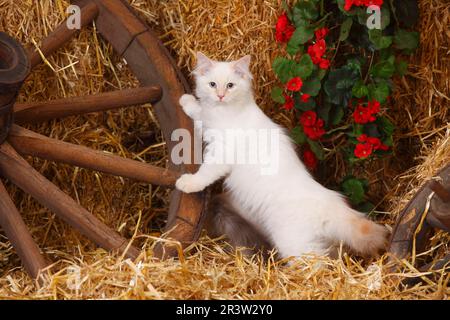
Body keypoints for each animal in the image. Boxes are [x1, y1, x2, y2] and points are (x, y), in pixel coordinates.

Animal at [176, 52, 386, 258]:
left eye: (230, 86)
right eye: (212, 84)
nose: (220, 96)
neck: (223, 111)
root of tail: (331, 205)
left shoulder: (221, 152)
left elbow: (205, 173)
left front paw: (187, 183)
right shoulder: (208, 123)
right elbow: (199, 111)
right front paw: (186, 100)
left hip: (294, 243)